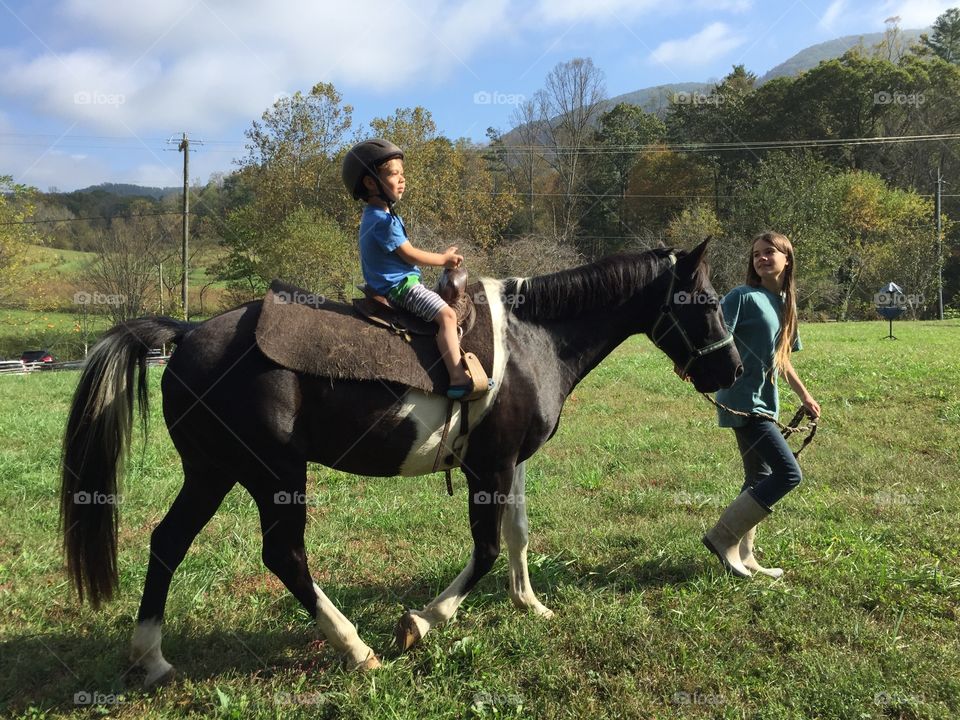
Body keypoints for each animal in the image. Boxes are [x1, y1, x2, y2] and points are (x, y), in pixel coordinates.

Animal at [60, 238, 744, 688]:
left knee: (167, 542)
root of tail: (186, 331)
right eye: (706, 301)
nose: (734, 370)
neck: (533, 340)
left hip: (213, 473)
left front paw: (529, 604)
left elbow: (517, 536)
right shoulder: (487, 468)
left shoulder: (510, 462)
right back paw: (355, 648)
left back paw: (149, 656)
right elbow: (485, 549)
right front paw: (423, 620)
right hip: (273, 476)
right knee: (284, 555)